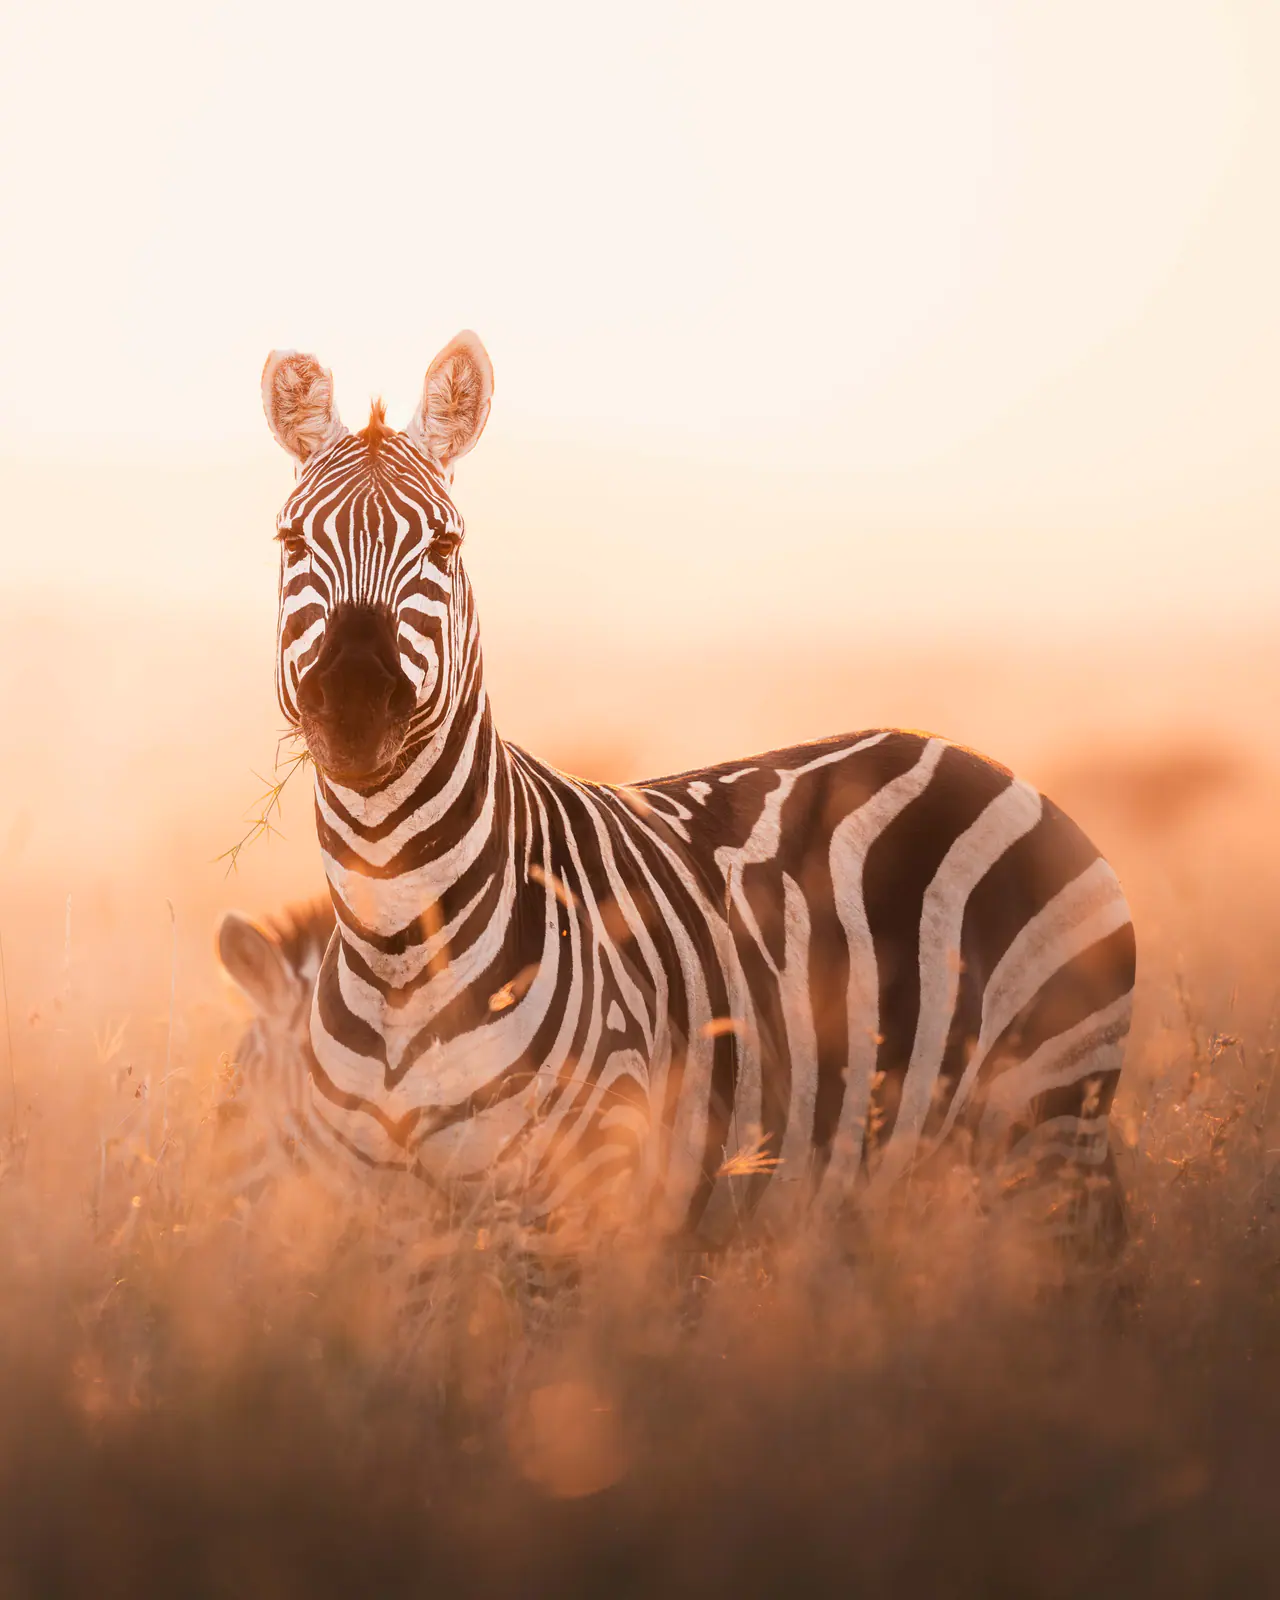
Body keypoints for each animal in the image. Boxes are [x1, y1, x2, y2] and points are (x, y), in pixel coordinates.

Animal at [251, 332, 1135, 1252]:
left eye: (445, 548)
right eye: (290, 541)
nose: (356, 707)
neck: (396, 944)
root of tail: (986, 763)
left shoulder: (578, 1193)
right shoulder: (380, 1220)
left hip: (1044, 1108)